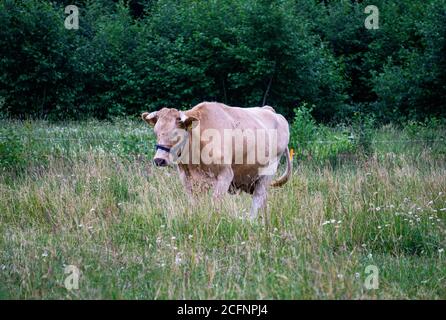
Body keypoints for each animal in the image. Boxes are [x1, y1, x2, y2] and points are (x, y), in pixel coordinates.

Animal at [142, 101, 292, 219]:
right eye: (156, 132)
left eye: (176, 133)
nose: (159, 160)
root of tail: (270, 111)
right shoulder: (187, 179)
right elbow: (194, 204)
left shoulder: (225, 175)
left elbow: (215, 203)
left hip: (268, 172)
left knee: (257, 199)